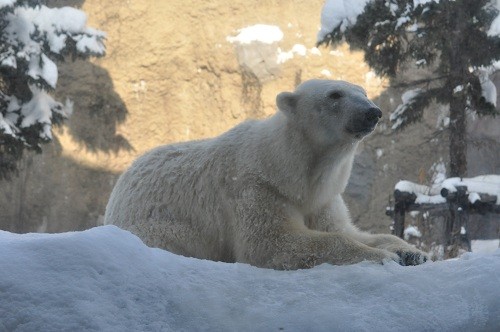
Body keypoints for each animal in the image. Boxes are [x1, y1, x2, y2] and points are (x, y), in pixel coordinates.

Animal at [104, 80, 426, 270]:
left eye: (363, 92)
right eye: (335, 94)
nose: (373, 112)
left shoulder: (323, 198)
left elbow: (350, 230)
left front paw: (411, 253)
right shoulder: (257, 189)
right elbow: (271, 242)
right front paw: (382, 258)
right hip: (159, 225)